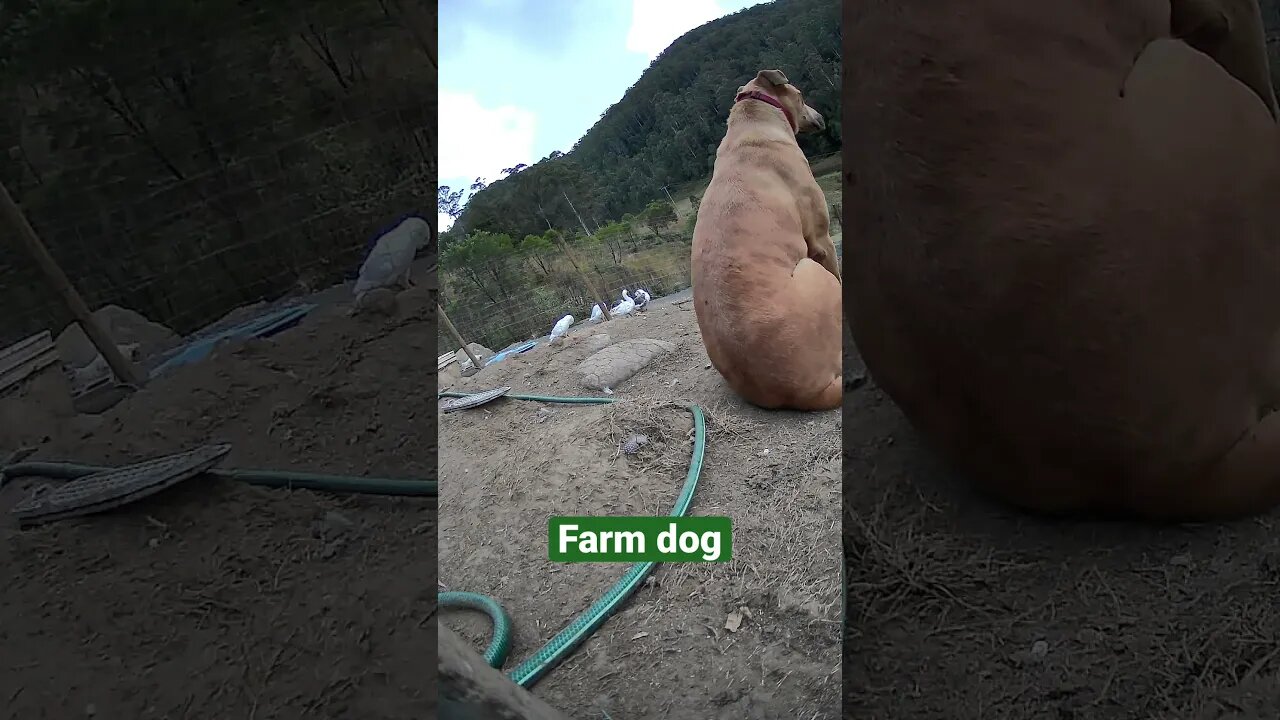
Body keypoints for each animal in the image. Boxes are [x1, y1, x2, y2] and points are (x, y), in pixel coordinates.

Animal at [691, 70, 839, 412]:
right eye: (801, 94)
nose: (821, 115)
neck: (753, 119)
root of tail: (804, 393)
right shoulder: (821, 240)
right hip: (812, 269)